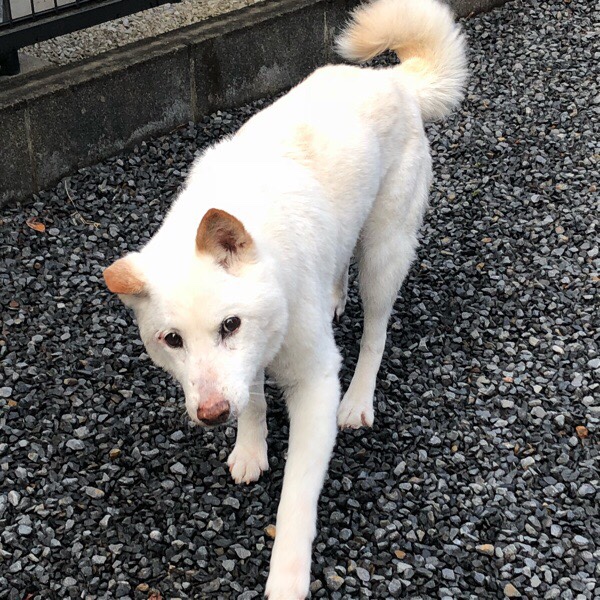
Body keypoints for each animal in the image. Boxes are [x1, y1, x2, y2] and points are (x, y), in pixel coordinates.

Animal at [103, 0, 467, 596]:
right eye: (171, 340)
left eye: (230, 325)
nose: (210, 415)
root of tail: (392, 80)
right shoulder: (244, 366)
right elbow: (250, 397)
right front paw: (249, 446)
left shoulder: (313, 382)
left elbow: (296, 499)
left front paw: (288, 579)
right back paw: (335, 296)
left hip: (385, 250)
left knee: (376, 329)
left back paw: (360, 397)